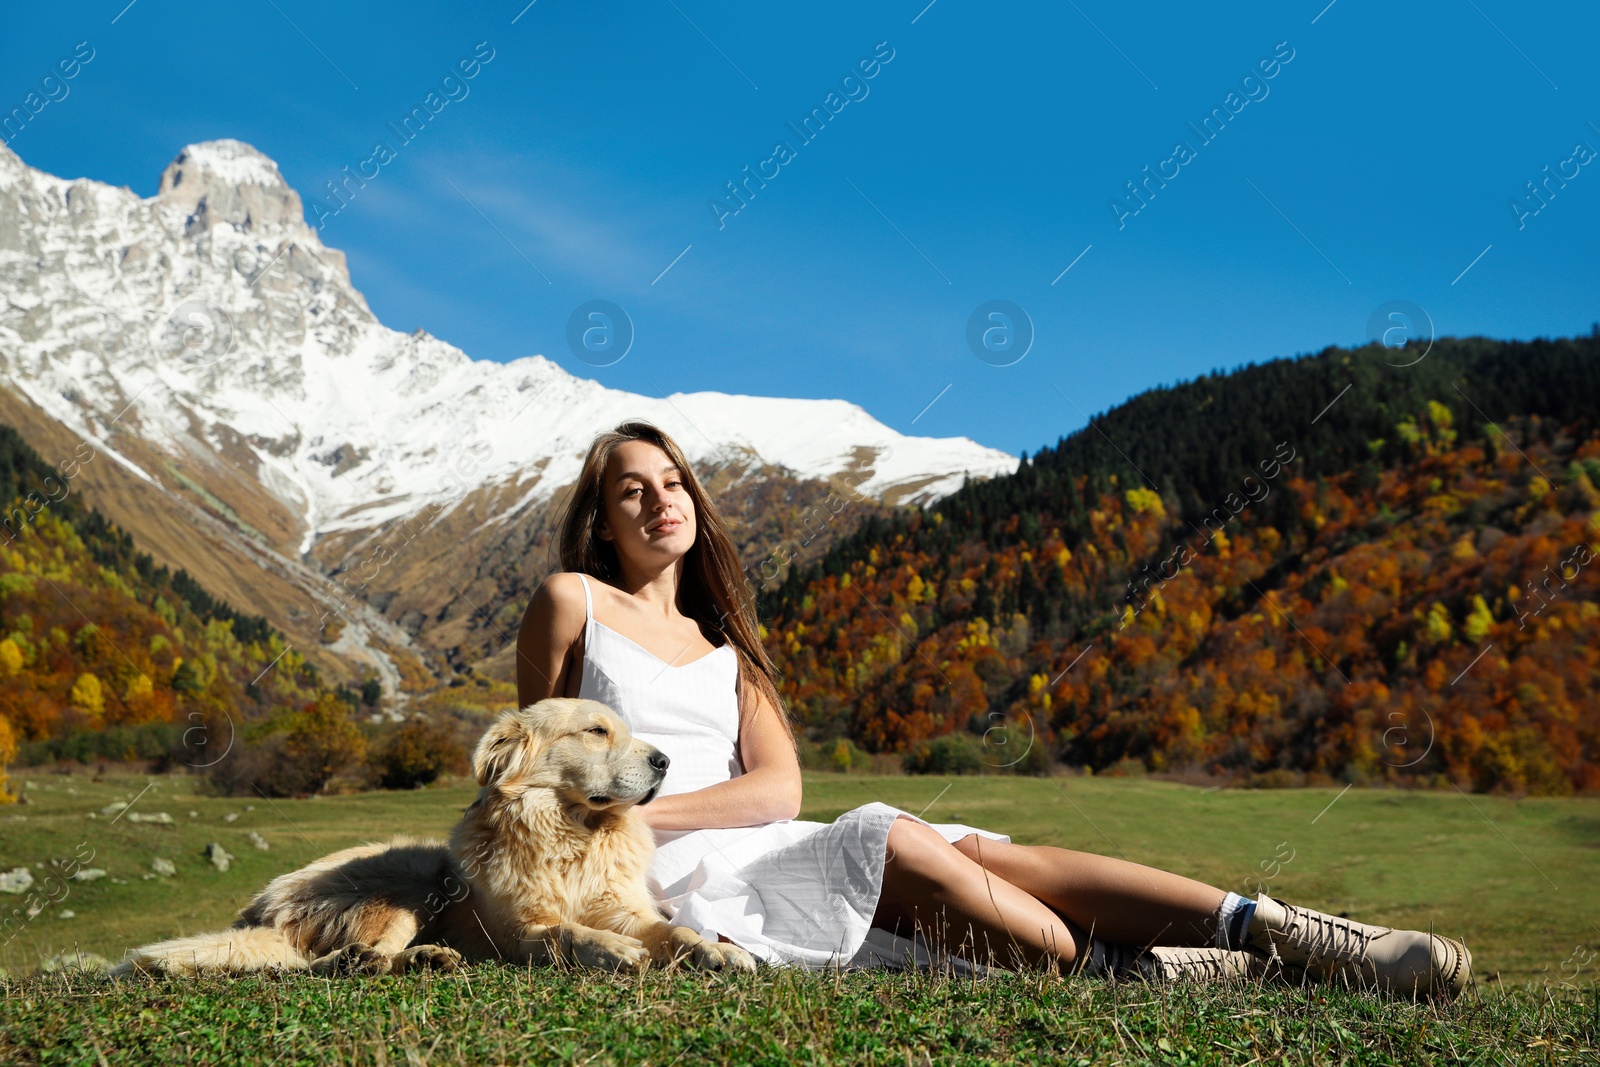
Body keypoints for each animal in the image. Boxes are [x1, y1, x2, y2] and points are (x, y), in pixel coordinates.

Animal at [114, 697, 761, 979]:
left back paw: (424, 958)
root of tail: (259, 908)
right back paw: (376, 960)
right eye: (596, 731)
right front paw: (610, 950)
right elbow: (566, 933)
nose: (665, 762)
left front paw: (719, 950)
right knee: (319, 962)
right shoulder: (517, 933)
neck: (569, 836)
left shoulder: (626, 907)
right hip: (413, 884)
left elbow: (674, 929)